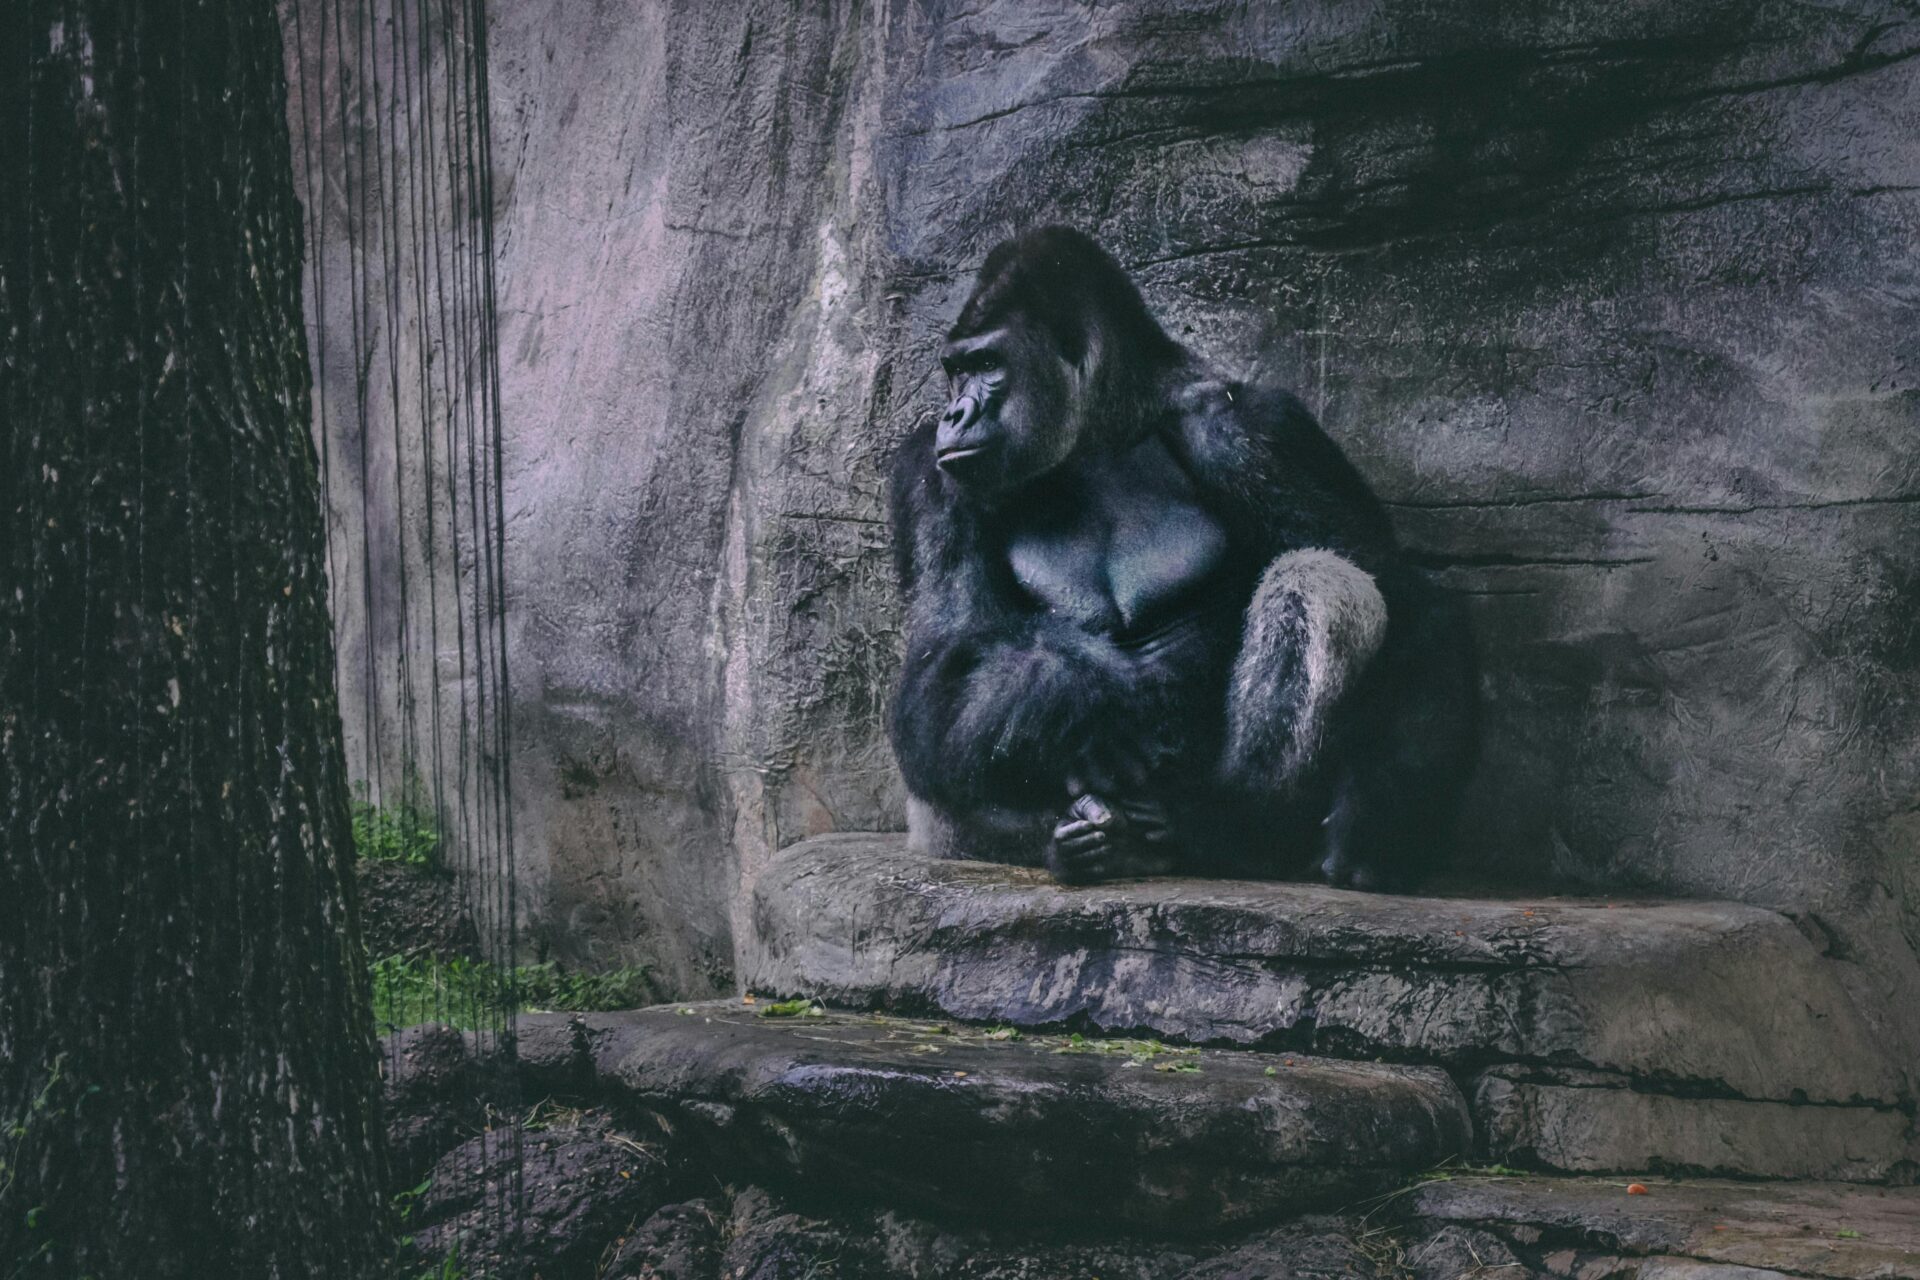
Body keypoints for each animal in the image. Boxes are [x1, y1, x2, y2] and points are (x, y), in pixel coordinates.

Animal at [886, 227, 1476, 890]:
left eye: (987, 367)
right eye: (956, 370)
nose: (953, 414)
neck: (1107, 425)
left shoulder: (1256, 428)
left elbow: (1403, 593)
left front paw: (1382, 813)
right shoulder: (929, 472)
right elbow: (946, 653)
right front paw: (1065, 689)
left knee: (1316, 577)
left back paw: (1228, 830)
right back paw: (1086, 844)